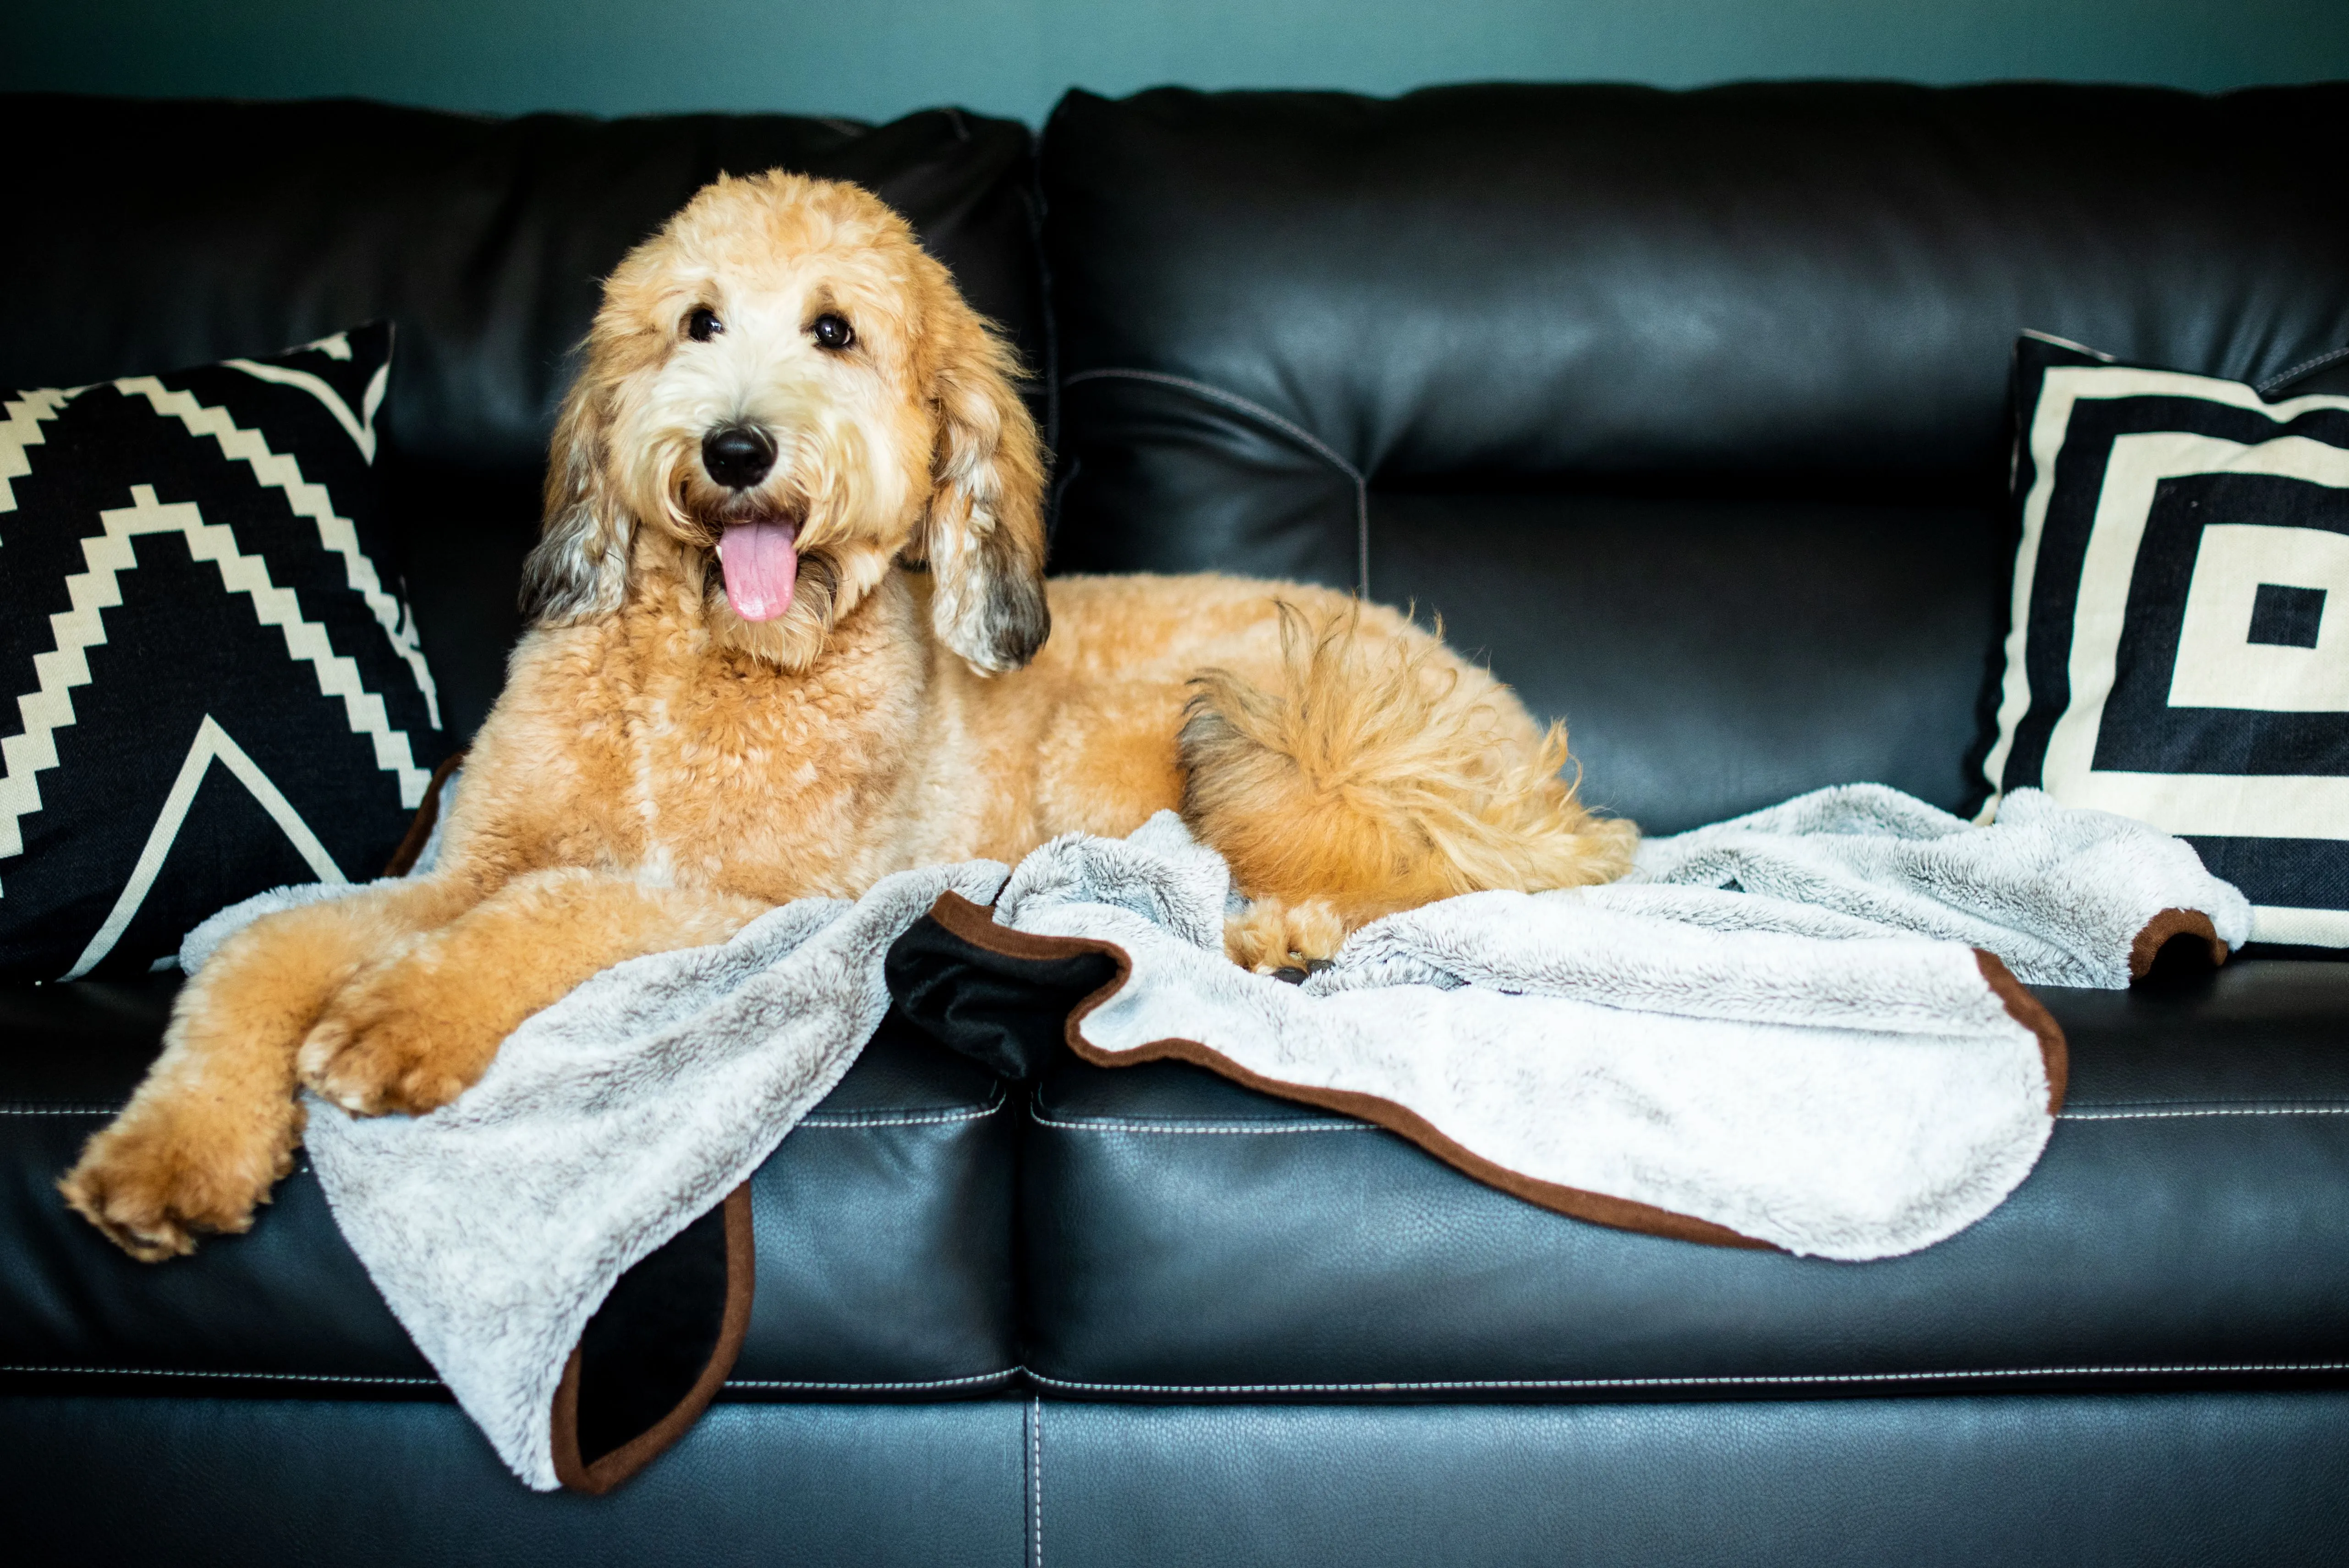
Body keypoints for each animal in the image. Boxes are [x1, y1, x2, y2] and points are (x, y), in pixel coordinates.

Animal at [60, 171, 1635, 1258]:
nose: (735, 447)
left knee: (1404, 888)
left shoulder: (756, 900)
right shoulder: (464, 867)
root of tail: (1510, 742)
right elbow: (264, 947)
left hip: (1230, 733)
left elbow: (557, 911)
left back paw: (1275, 934)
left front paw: (395, 1022)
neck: (693, 672)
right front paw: (173, 1153)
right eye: (695, 322)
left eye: (835, 332)